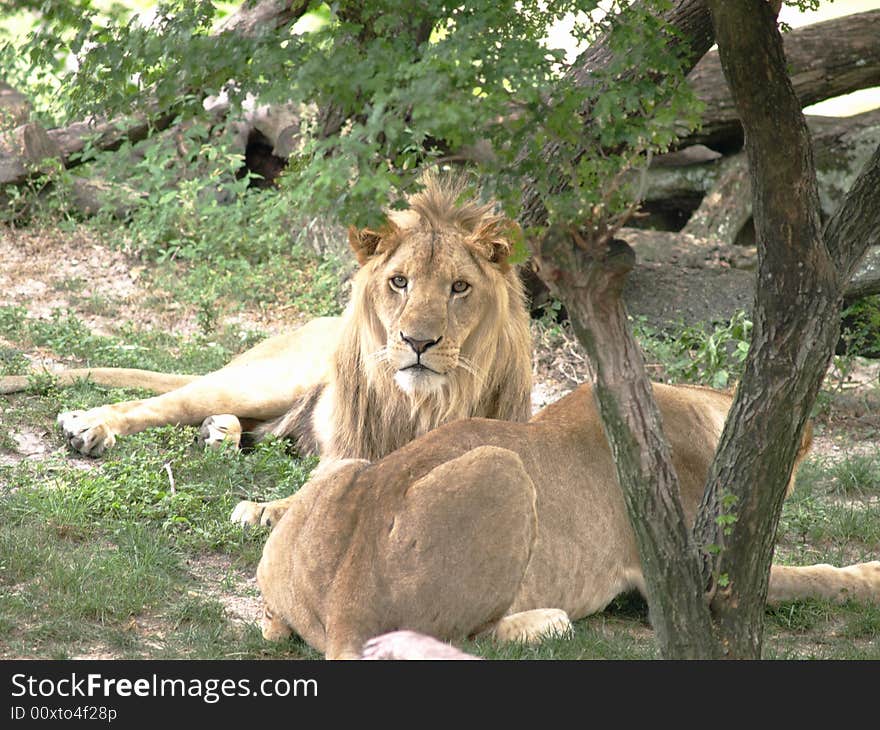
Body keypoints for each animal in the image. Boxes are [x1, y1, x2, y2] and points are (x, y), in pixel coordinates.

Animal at [0, 174, 532, 466]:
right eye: (399, 282)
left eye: (459, 287)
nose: (418, 342)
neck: (429, 403)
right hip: (266, 381)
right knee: (159, 403)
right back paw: (90, 425)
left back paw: (220, 432)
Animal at [254, 382, 880, 660]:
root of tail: (345, 609)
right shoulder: (695, 572)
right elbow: (816, 576)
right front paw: (870, 574)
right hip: (501, 466)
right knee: (459, 638)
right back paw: (549, 622)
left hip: (348, 469)